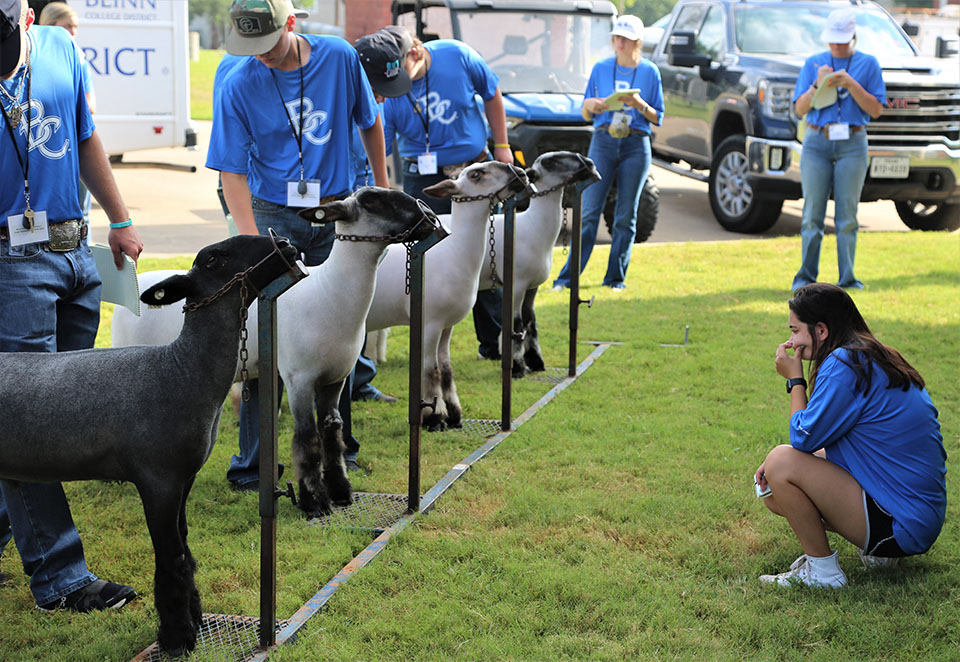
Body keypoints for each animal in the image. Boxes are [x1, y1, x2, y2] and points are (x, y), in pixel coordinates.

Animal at [0, 233, 304, 660]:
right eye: (214, 259)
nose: (285, 242)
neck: (181, 369)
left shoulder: (183, 478)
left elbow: (186, 550)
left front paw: (192, 620)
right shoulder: (157, 479)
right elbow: (170, 558)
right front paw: (177, 638)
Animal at [366, 161, 532, 430]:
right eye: (476, 174)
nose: (521, 172)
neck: (457, 253)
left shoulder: (447, 326)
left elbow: (446, 370)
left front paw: (454, 415)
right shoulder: (429, 324)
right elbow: (430, 370)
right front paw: (434, 418)